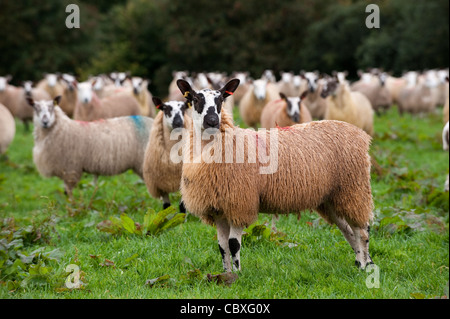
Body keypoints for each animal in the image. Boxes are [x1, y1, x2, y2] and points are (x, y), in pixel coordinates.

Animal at [178, 79, 374, 274]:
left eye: (220, 100)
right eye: (195, 99)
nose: (212, 121)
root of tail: (360, 135)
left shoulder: (240, 203)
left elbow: (233, 244)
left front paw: (238, 275)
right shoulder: (218, 208)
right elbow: (222, 246)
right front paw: (226, 274)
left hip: (353, 189)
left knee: (362, 230)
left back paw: (365, 266)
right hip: (331, 198)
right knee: (348, 230)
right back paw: (361, 263)